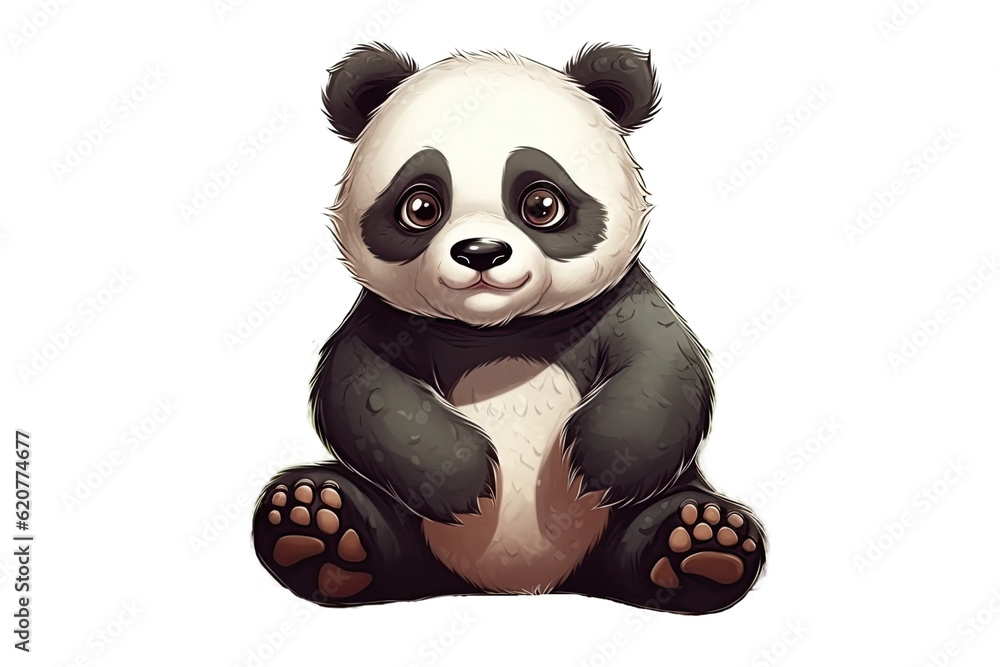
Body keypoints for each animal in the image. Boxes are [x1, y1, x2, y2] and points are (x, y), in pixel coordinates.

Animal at [253, 43, 766, 614]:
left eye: (542, 203)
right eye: (420, 205)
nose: (481, 252)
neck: (499, 330)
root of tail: (524, 584)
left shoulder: (620, 303)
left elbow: (663, 367)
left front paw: (597, 462)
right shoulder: (386, 320)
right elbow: (361, 387)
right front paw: (463, 476)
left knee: (660, 527)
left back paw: (702, 546)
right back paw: (316, 528)